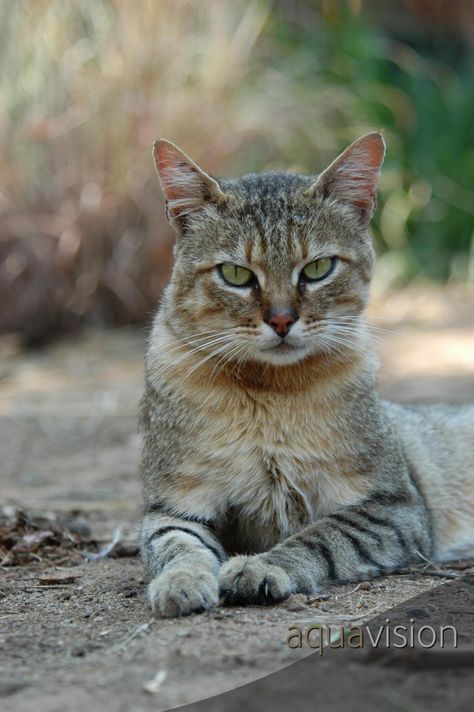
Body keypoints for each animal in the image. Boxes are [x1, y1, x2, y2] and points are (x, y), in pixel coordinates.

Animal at [138, 132, 474, 616]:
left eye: (317, 268)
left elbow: (319, 538)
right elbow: (175, 546)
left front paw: (262, 566)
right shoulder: (172, 505)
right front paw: (181, 581)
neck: (268, 392)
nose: (281, 320)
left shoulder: (394, 507)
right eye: (236, 274)